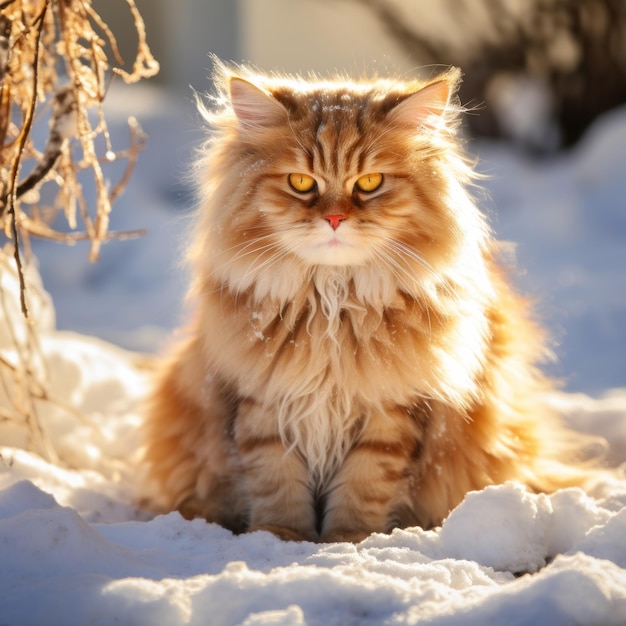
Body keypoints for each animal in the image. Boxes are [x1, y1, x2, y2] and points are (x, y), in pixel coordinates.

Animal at [140, 62, 600, 540]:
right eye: (301, 182)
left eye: (370, 182)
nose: (335, 218)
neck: (331, 303)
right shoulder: (263, 402)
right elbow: (276, 482)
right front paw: (279, 538)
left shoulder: (392, 411)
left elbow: (365, 486)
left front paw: (348, 541)